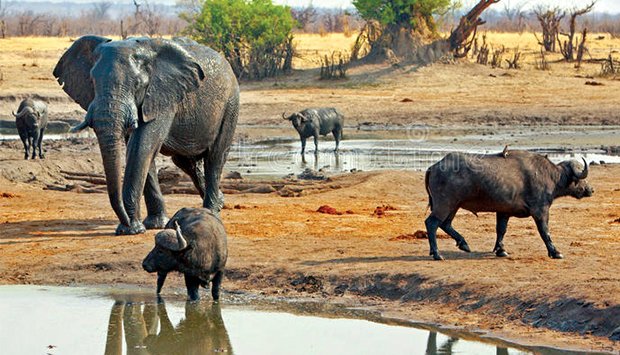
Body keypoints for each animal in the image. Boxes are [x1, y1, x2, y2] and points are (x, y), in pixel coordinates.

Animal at [53, 36, 239, 236]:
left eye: (137, 84)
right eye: (92, 81)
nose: (126, 222)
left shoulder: (162, 96)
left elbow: (141, 146)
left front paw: (131, 230)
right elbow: (142, 150)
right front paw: (152, 225)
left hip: (230, 104)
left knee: (215, 157)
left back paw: (211, 213)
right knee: (185, 162)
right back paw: (219, 202)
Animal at [424, 150, 592, 262]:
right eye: (582, 179)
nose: (591, 189)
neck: (550, 176)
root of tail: (434, 166)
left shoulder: (503, 211)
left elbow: (501, 230)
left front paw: (501, 250)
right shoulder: (541, 211)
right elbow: (545, 232)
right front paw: (555, 252)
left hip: (454, 206)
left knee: (445, 224)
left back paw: (463, 244)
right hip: (444, 204)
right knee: (431, 223)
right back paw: (437, 253)